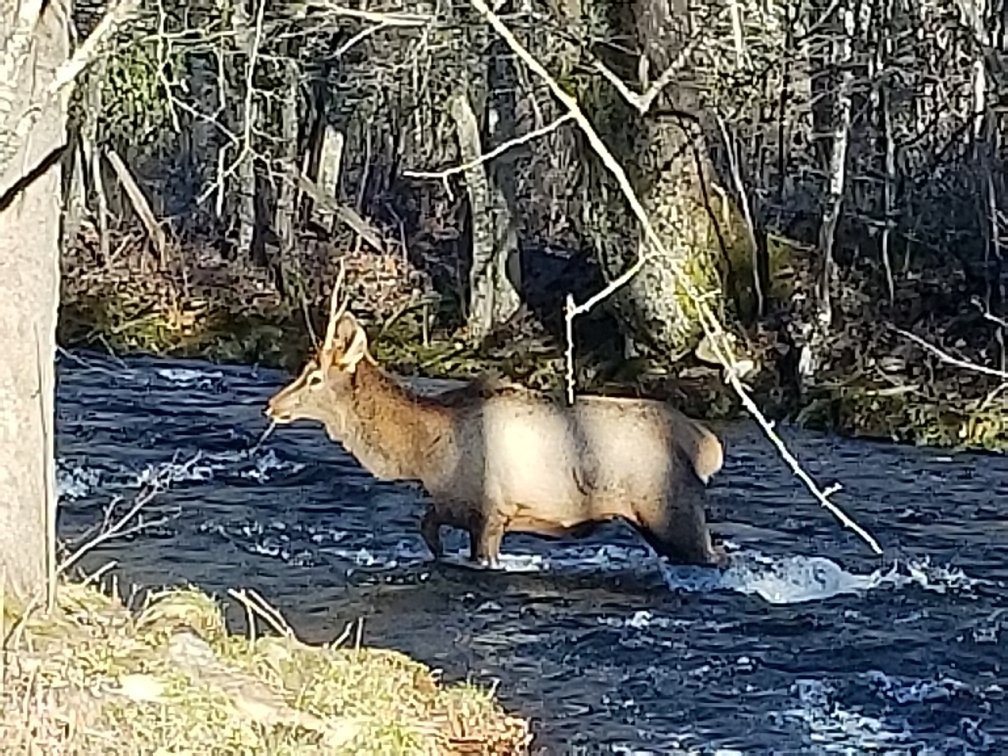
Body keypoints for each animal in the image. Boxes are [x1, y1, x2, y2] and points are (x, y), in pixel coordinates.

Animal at [264, 266, 729, 568]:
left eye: (315, 378)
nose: (272, 405)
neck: (424, 453)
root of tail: (707, 444)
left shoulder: (493, 514)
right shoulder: (452, 506)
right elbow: (427, 531)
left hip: (672, 513)